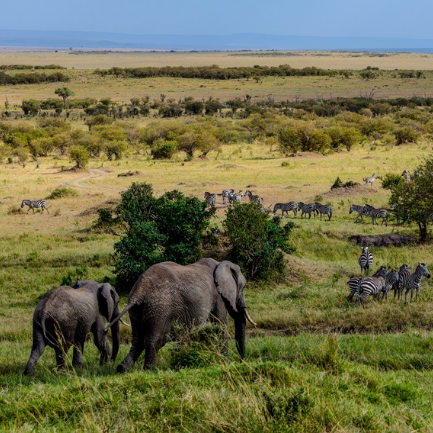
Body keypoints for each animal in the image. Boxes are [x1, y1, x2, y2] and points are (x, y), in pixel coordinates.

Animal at [109, 256, 256, 372]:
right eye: (243, 288)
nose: (243, 360)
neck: (221, 264)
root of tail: (139, 293)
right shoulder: (217, 296)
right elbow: (220, 324)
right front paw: (225, 362)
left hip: (137, 311)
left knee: (137, 340)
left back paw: (122, 369)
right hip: (160, 309)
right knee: (153, 340)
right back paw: (150, 371)